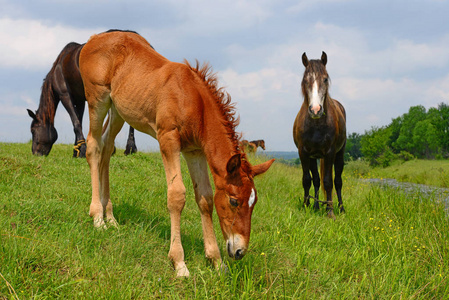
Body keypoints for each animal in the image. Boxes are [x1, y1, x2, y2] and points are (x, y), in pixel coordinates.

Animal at [79, 31, 272, 276]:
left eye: (253, 203)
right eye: (234, 201)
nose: (239, 251)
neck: (194, 100)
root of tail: (93, 38)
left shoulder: (195, 151)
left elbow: (205, 198)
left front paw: (216, 261)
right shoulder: (168, 139)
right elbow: (177, 195)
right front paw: (179, 263)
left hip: (118, 110)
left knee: (106, 148)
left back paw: (110, 217)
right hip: (97, 98)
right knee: (94, 146)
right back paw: (97, 217)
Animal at [292, 52, 344, 219]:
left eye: (325, 79)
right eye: (305, 80)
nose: (315, 110)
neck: (316, 125)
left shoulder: (330, 153)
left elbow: (328, 182)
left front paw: (330, 211)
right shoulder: (303, 153)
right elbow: (307, 180)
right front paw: (306, 205)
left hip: (339, 154)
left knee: (338, 181)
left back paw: (341, 208)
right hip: (313, 157)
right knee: (315, 179)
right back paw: (315, 206)